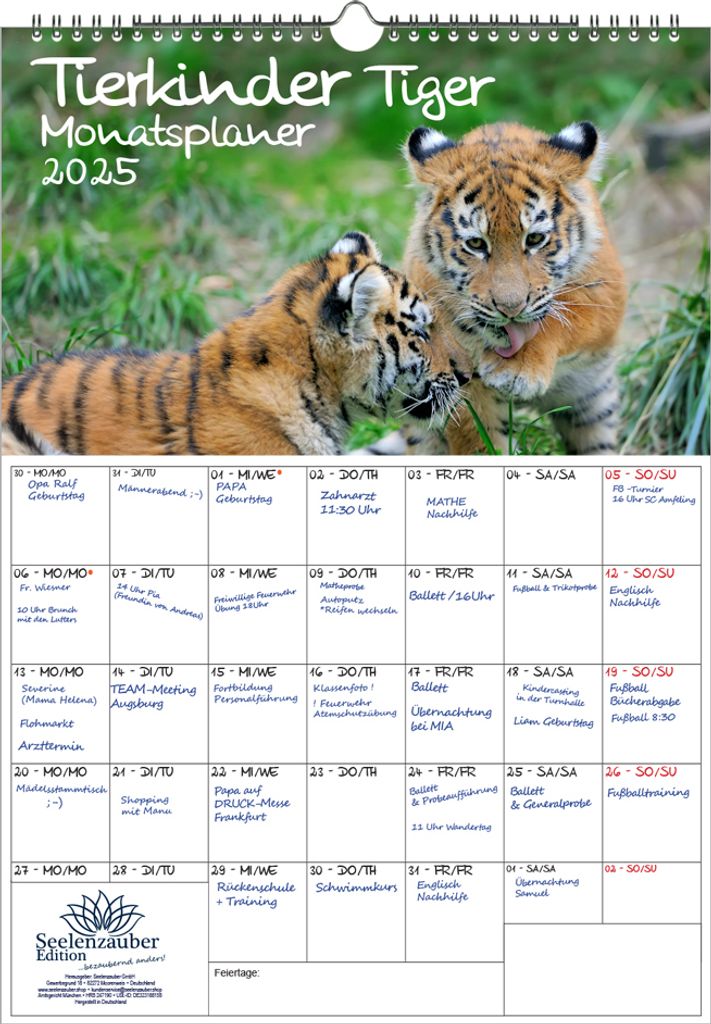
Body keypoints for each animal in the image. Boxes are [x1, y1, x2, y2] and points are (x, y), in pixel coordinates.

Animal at [402, 120, 627, 455]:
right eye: (476, 244)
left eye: (534, 239)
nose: (510, 308)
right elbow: (477, 438)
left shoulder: (605, 297)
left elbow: (565, 319)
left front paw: (518, 370)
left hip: (593, 404)